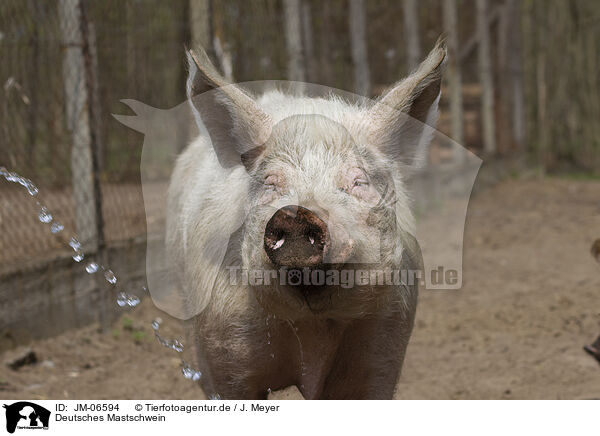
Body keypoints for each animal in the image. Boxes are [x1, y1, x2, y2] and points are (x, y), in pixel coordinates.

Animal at [164, 40, 446, 398]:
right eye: (270, 182)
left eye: (358, 181)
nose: (298, 213)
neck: (312, 328)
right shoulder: (223, 348)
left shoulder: (385, 342)